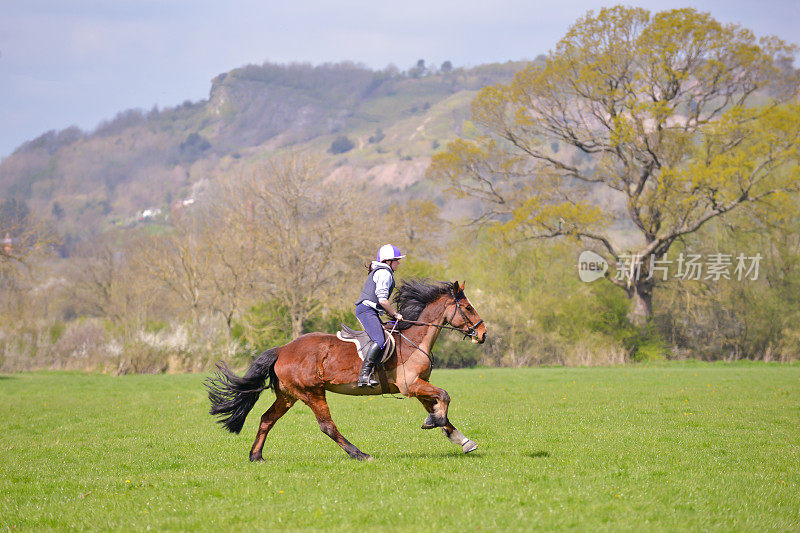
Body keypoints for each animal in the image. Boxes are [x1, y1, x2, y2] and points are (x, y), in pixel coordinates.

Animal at [205, 280, 488, 460]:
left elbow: (440, 407)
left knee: (266, 419)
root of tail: (282, 349)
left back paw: (256, 456)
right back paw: (360, 454)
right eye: (468, 308)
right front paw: (436, 423)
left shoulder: (419, 386)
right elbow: (445, 396)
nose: (483, 334)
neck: (414, 339)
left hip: (288, 395)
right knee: (327, 426)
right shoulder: (412, 385)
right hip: (312, 393)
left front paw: (462, 439)